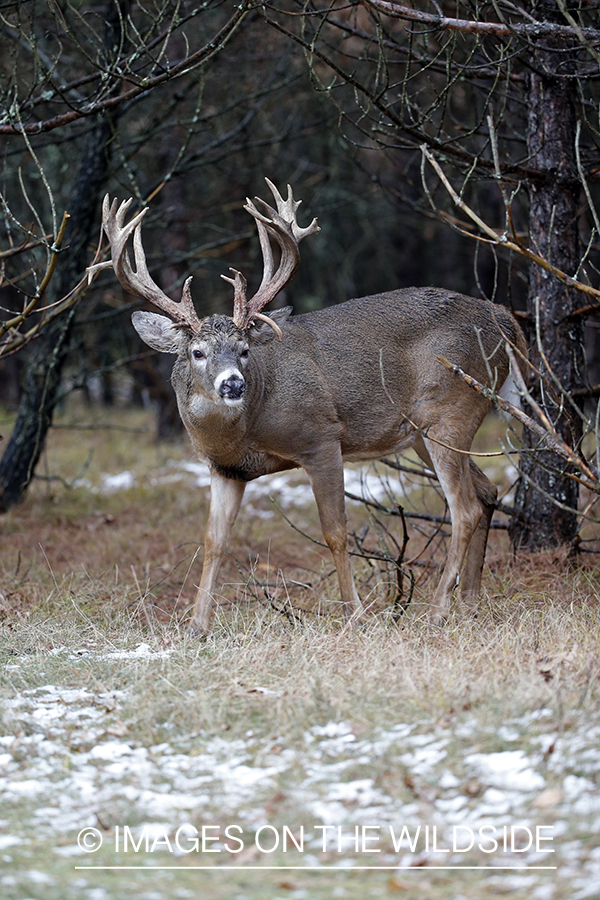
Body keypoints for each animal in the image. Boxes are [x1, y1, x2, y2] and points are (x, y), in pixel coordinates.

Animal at [88, 181, 524, 632]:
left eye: (244, 350)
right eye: (197, 352)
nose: (233, 384)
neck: (248, 426)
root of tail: (504, 318)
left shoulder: (322, 438)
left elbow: (335, 531)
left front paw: (356, 614)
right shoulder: (226, 469)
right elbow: (214, 540)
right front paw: (197, 625)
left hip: (452, 410)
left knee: (465, 508)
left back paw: (438, 611)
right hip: (424, 431)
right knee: (487, 491)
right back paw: (469, 601)